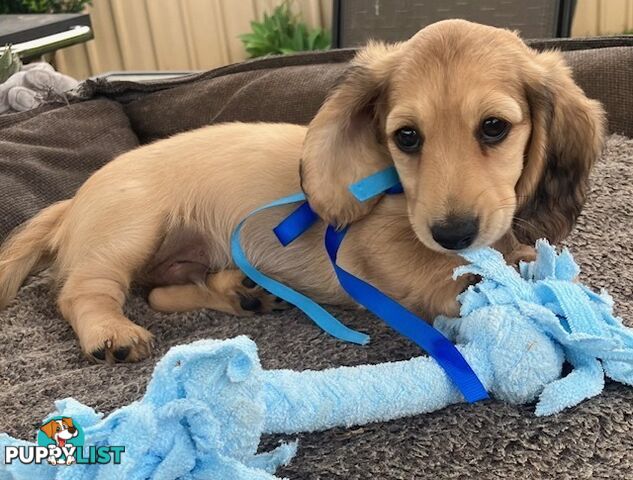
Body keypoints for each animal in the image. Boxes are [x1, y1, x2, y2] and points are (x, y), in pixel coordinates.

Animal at [0, 20, 604, 362]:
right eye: (406, 137)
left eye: (494, 128)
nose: (452, 233)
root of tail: (69, 203)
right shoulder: (385, 248)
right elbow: (442, 274)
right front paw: (492, 279)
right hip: (129, 228)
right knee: (84, 292)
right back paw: (111, 332)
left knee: (159, 293)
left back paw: (241, 291)